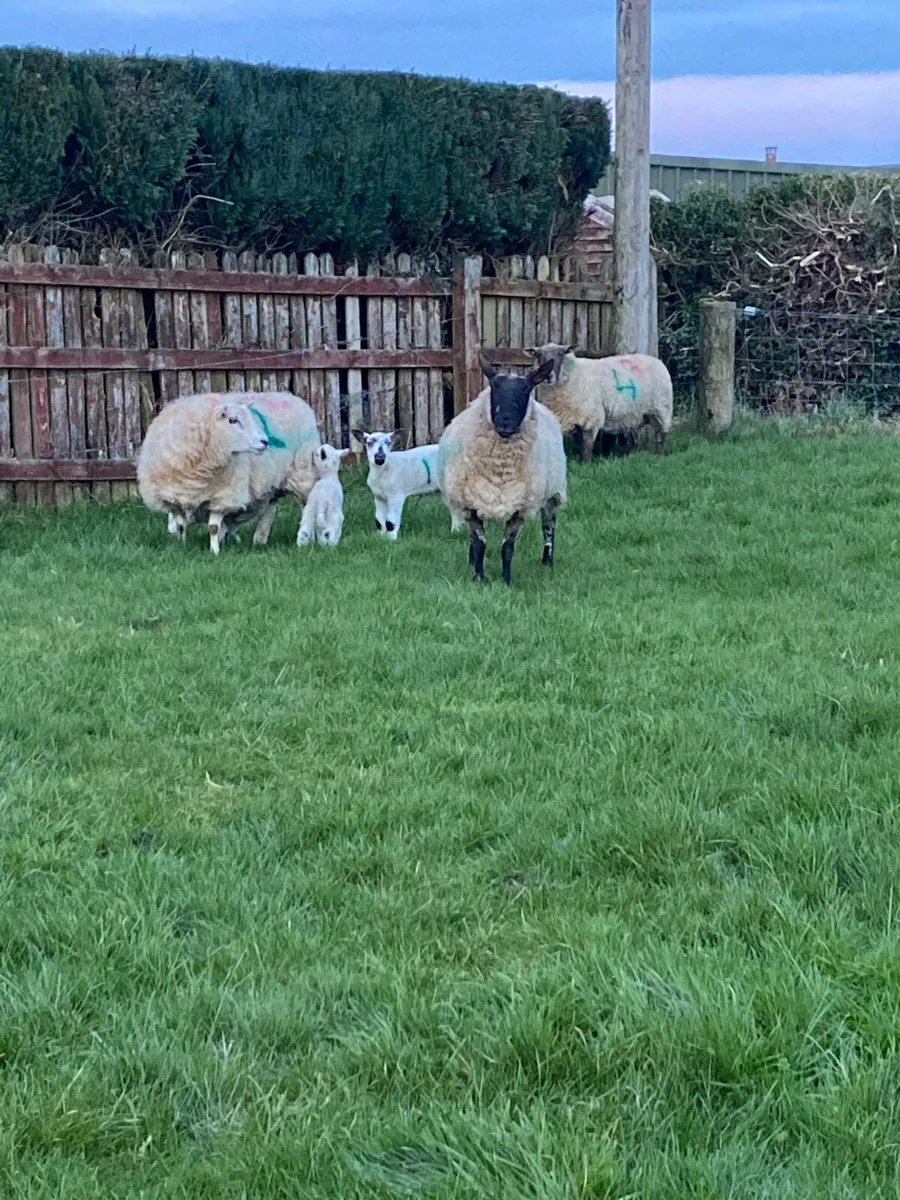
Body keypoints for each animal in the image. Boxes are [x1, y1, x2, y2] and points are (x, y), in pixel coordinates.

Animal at [138, 391, 321, 553]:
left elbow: (213, 527)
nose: (265, 441)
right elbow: (182, 526)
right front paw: (182, 546)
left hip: (301, 474)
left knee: (306, 508)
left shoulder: (223, 495)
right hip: (270, 482)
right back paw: (259, 539)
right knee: (270, 508)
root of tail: (292, 397)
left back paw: (305, 538)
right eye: (233, 420)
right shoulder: (173, 497)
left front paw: (215, 551)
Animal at [436, 354, 565, 586]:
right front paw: (478, 577)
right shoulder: (469, 504)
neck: (499, 468)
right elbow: (479, 544)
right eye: (494, 385)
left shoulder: (520, 507)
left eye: (526, 389)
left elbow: (507, 547)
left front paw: (506, 581)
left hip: (552, 491)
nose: (506, 423)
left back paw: (547, 560)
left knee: (549, 525)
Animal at [527, 343, 674, 462]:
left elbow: (587, 445)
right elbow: (579, 442)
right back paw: (630, 456)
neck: (573, 375)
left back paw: (659, 455)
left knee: (661, 434)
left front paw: (585, 464)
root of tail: (657, 361)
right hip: (637, 414)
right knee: (636, 438)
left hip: (661, 409)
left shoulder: (591, 417)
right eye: (539, 354)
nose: (548, 376)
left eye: (561, 354)